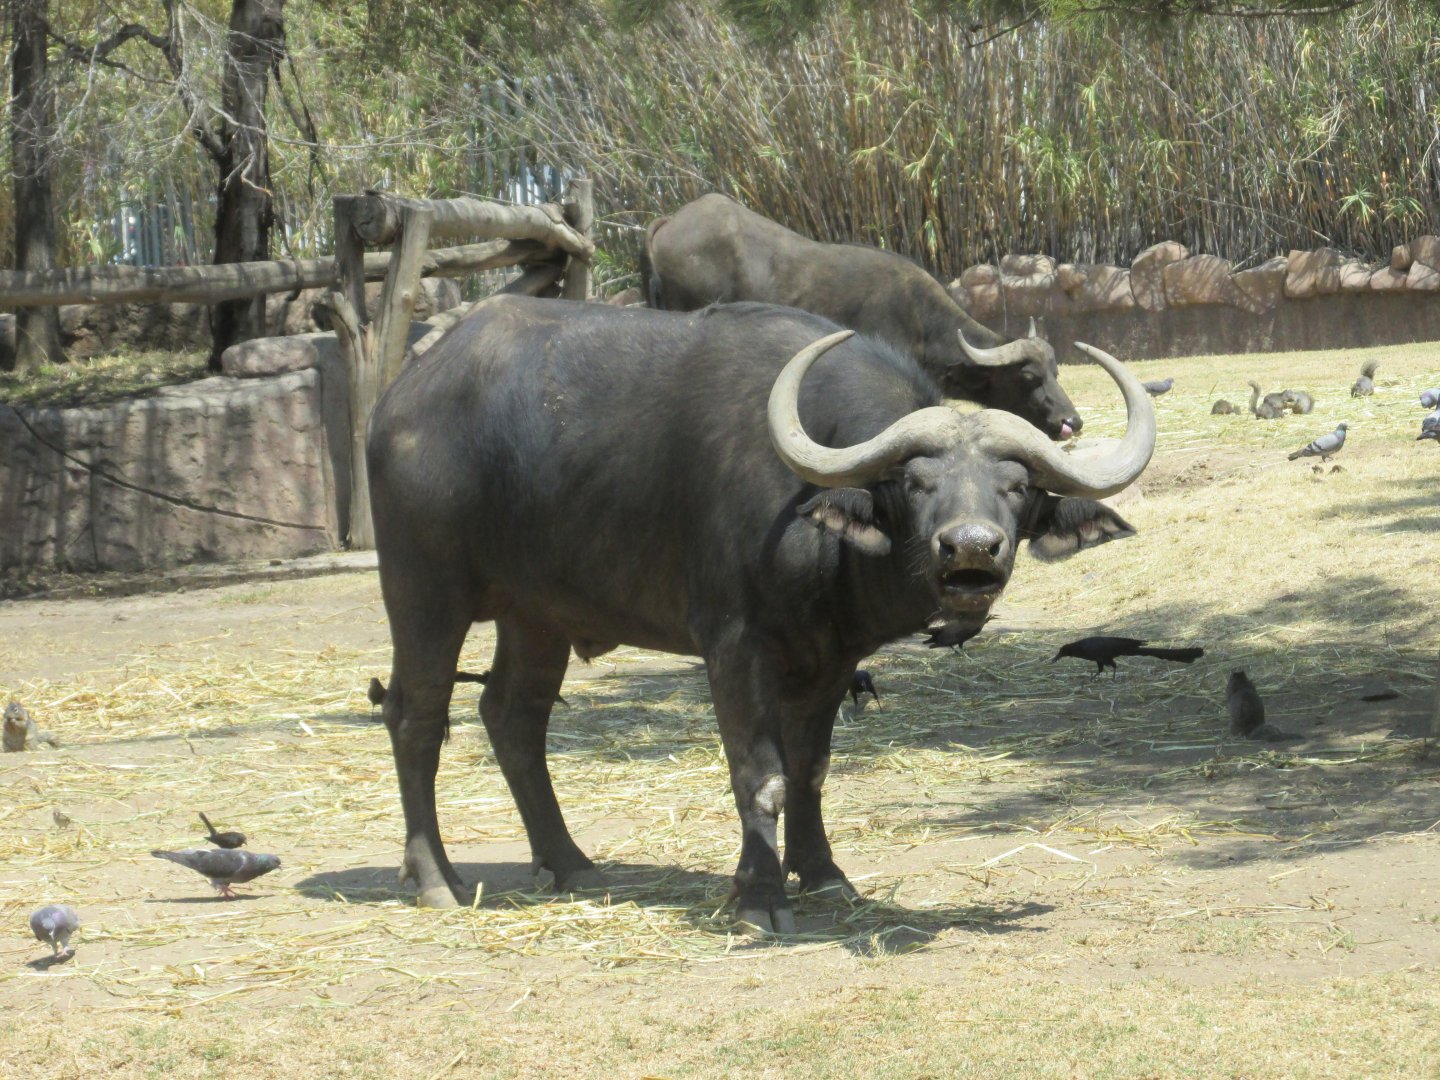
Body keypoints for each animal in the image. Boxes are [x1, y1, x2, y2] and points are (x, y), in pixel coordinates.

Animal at [368, 296, 1153, 931]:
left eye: (1017, 487)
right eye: (915, 482)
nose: (970, 548)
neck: (817, 522)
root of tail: (403, 396)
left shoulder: (832, 658)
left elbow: (810, 770)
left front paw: (825, 874)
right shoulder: (733, 648)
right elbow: (761, 774)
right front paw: (761, 895)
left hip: (537, 615)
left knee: (513, 718)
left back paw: (567, 861)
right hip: (424, 591)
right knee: (416, 717)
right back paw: (436, 878)